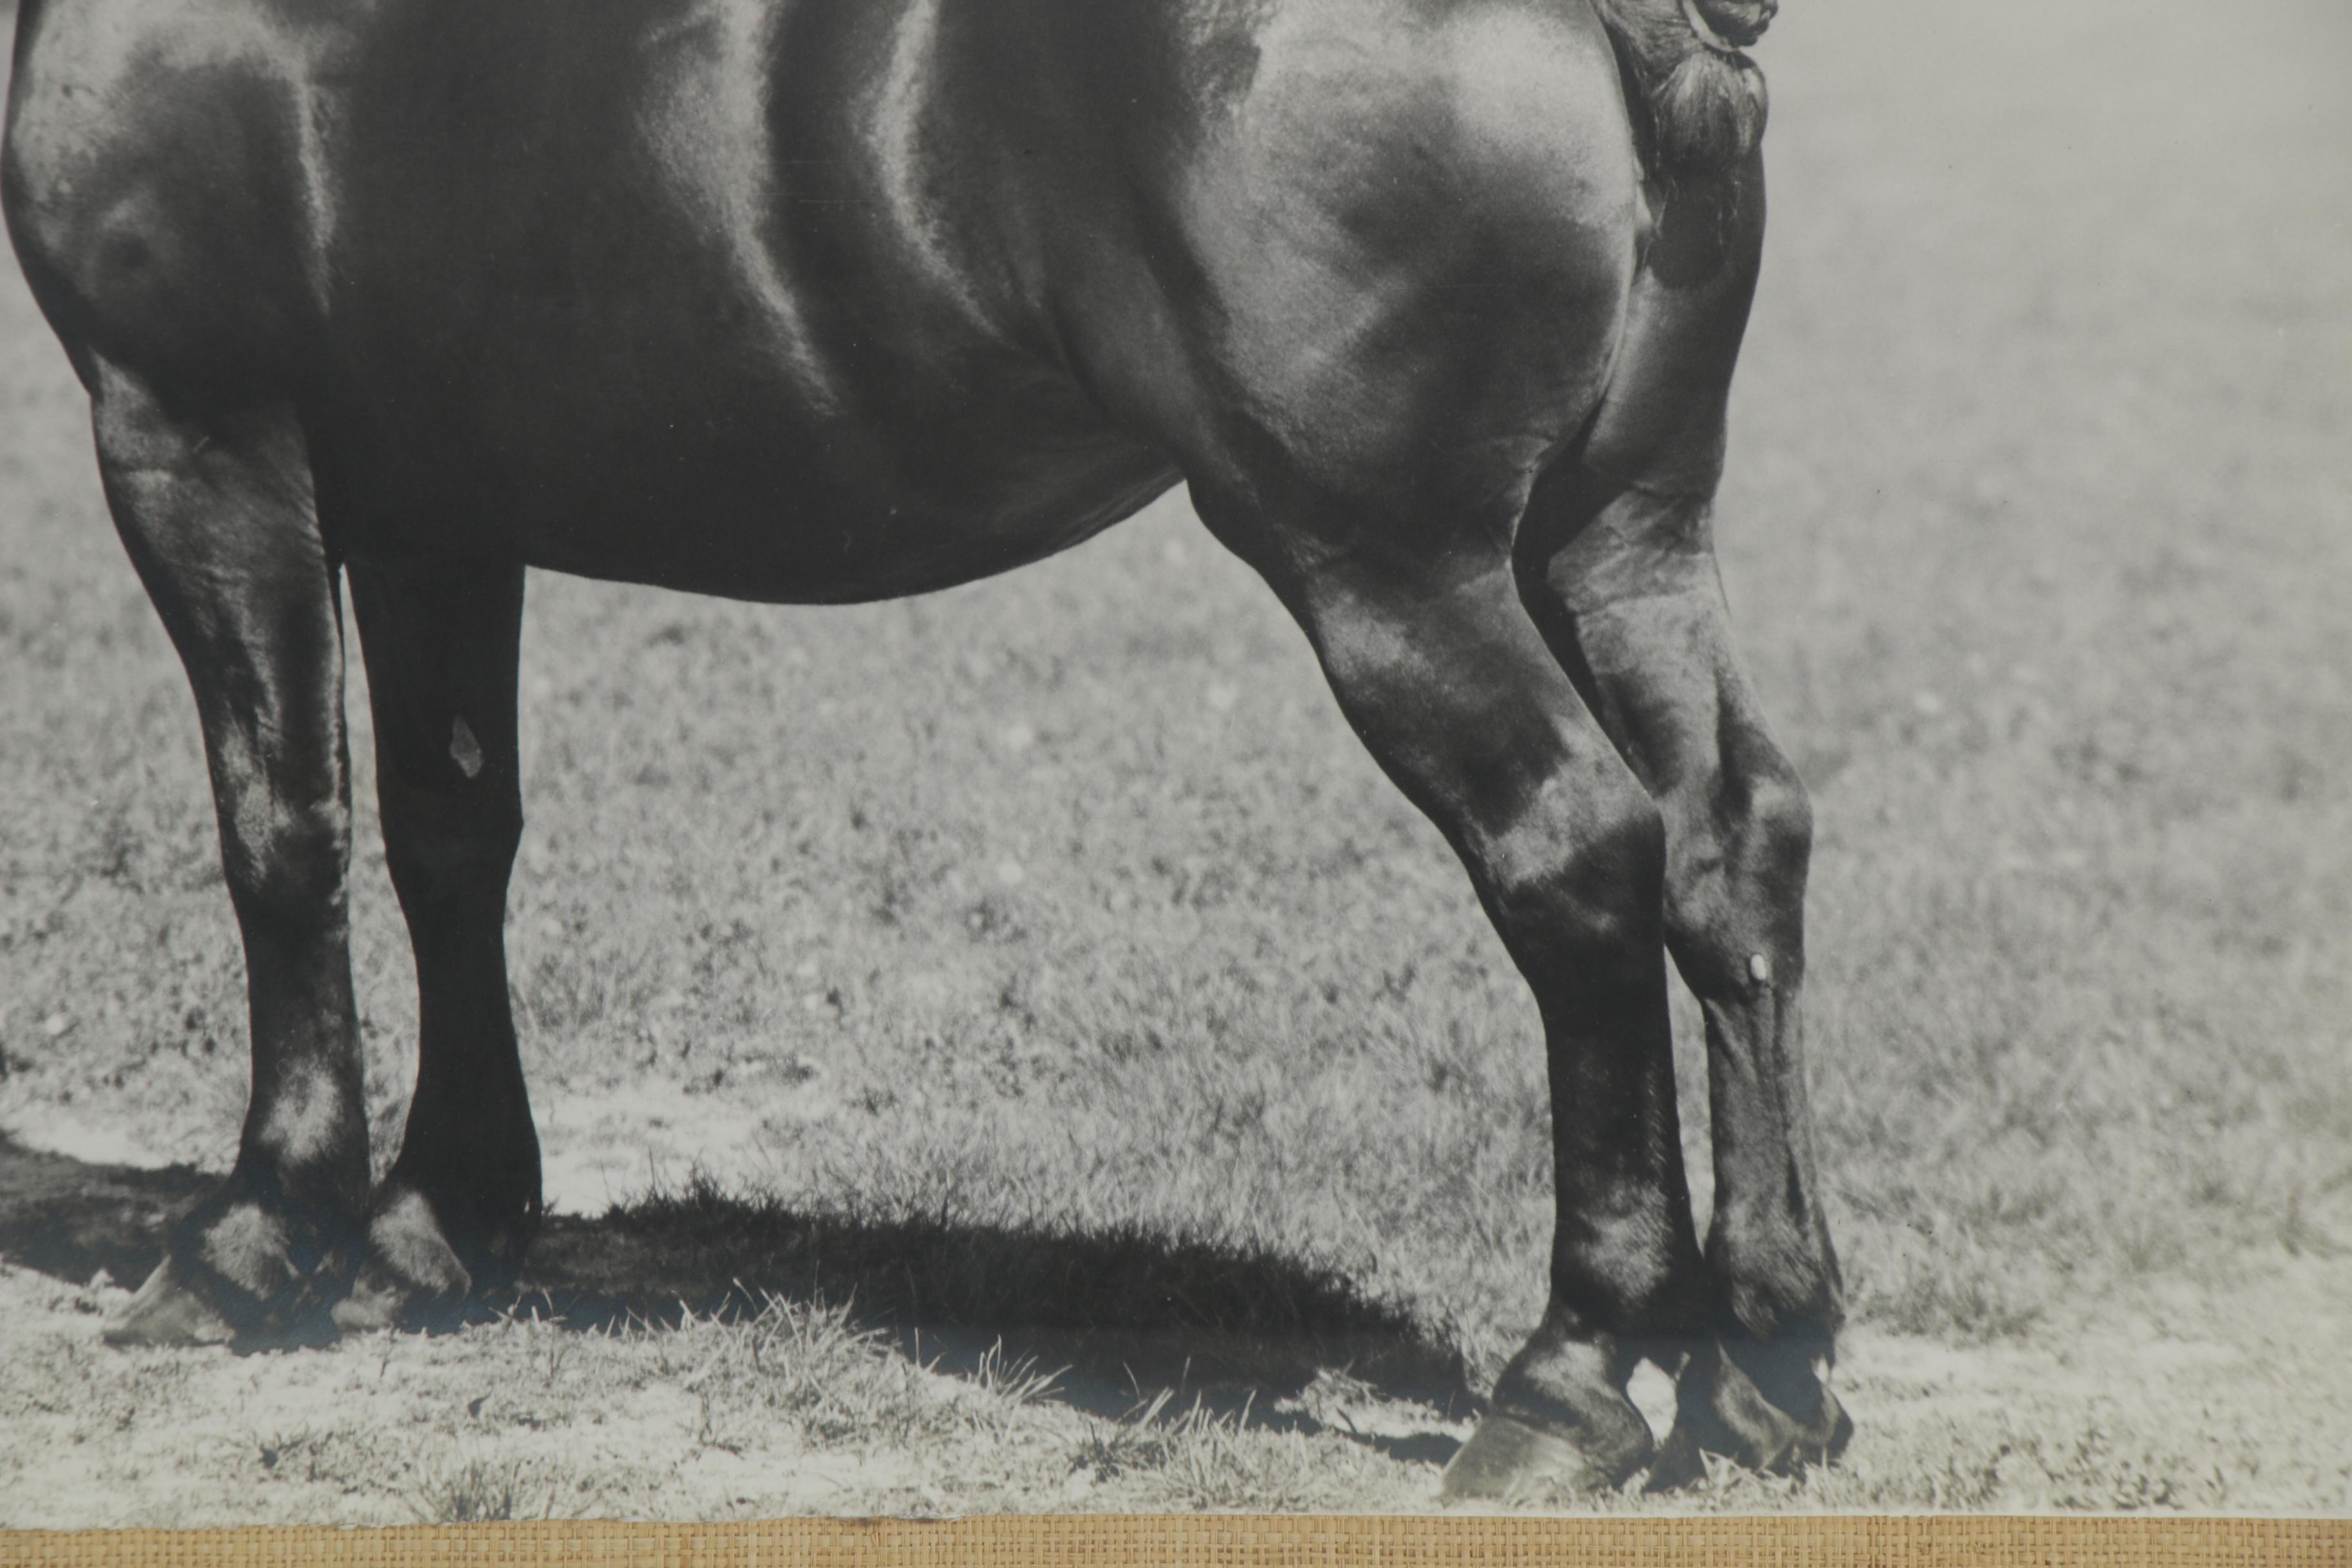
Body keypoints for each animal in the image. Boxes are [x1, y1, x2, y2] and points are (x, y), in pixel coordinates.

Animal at [3, 0, 1845, 1498]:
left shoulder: (194, 438)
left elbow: (280, 831)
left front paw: (255, 1234)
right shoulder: (428, 508)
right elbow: (447, 839)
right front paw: (439, 1222)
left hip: (1390, 564)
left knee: (1575, 857)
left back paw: (1572, 1375)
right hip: (1619, 532)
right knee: (1730, 839)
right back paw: (1770, 1366)